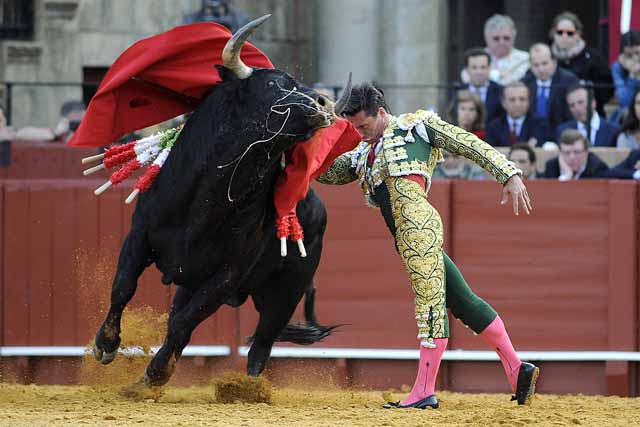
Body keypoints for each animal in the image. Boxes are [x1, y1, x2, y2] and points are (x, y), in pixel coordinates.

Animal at [92, 15, 348, 388]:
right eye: (274, 83)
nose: (323, 104)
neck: (208, 199)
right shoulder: (140, 236)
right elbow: (123, 287)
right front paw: (106, 345)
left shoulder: (228, 274)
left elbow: (184, 324)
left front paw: (155, 373)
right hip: (191, 283)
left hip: (284, 293)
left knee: (260, 346)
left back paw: (248, 389)